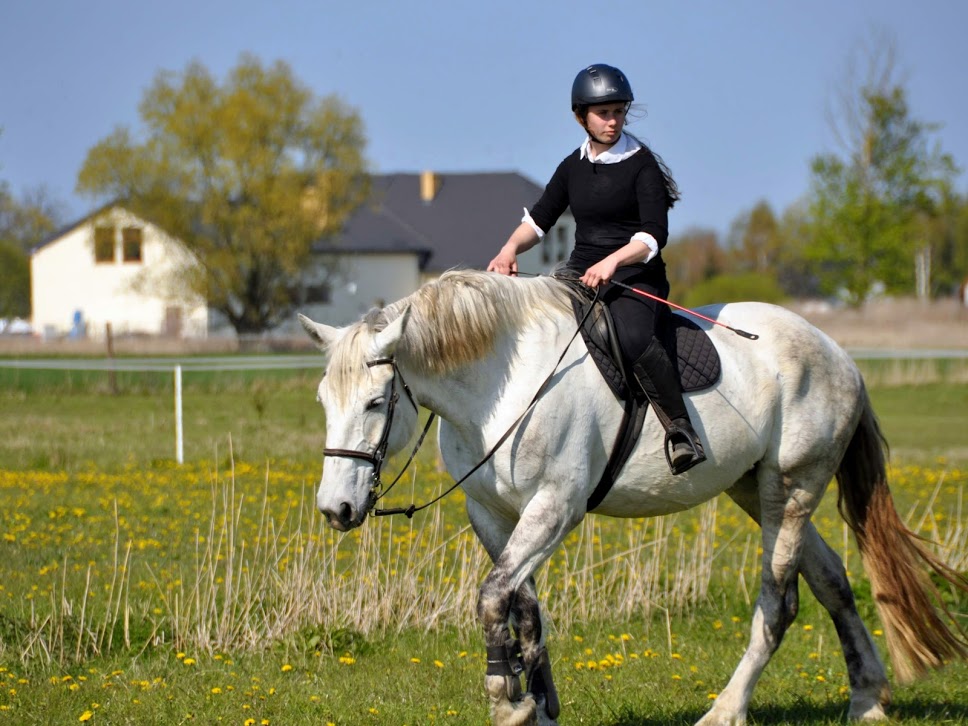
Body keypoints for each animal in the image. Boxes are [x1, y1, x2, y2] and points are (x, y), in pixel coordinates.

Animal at [298, 272, 964, 726]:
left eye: (376, 403)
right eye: (323, 401)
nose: (336, 510)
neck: (499, 390)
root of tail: (837, 353)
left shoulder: (555, 508)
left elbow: (492, 599)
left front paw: (507, 702)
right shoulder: (492, 515)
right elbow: (523, 606)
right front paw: (538, 703)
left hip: (792, 487)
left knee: (779, 605)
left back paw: (725, 710)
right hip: (756, 488)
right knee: (831, 581)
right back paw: (867, 697)